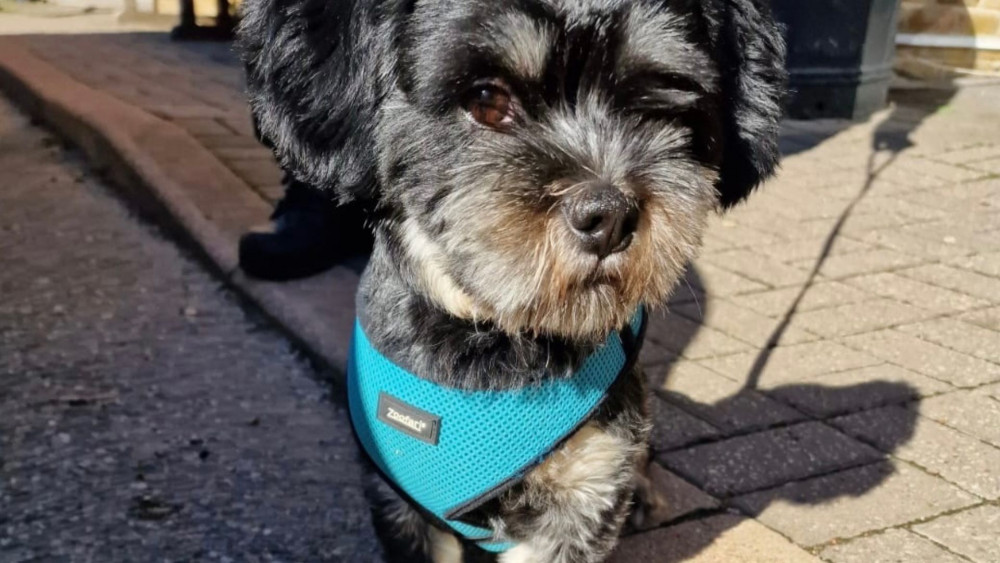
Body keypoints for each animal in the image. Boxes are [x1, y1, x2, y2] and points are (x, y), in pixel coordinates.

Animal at [238, 2, 784, 560]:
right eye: (486, 100)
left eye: (655, 105)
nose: (610, 216)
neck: (492, 342)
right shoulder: (400, 502)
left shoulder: (582, 497)